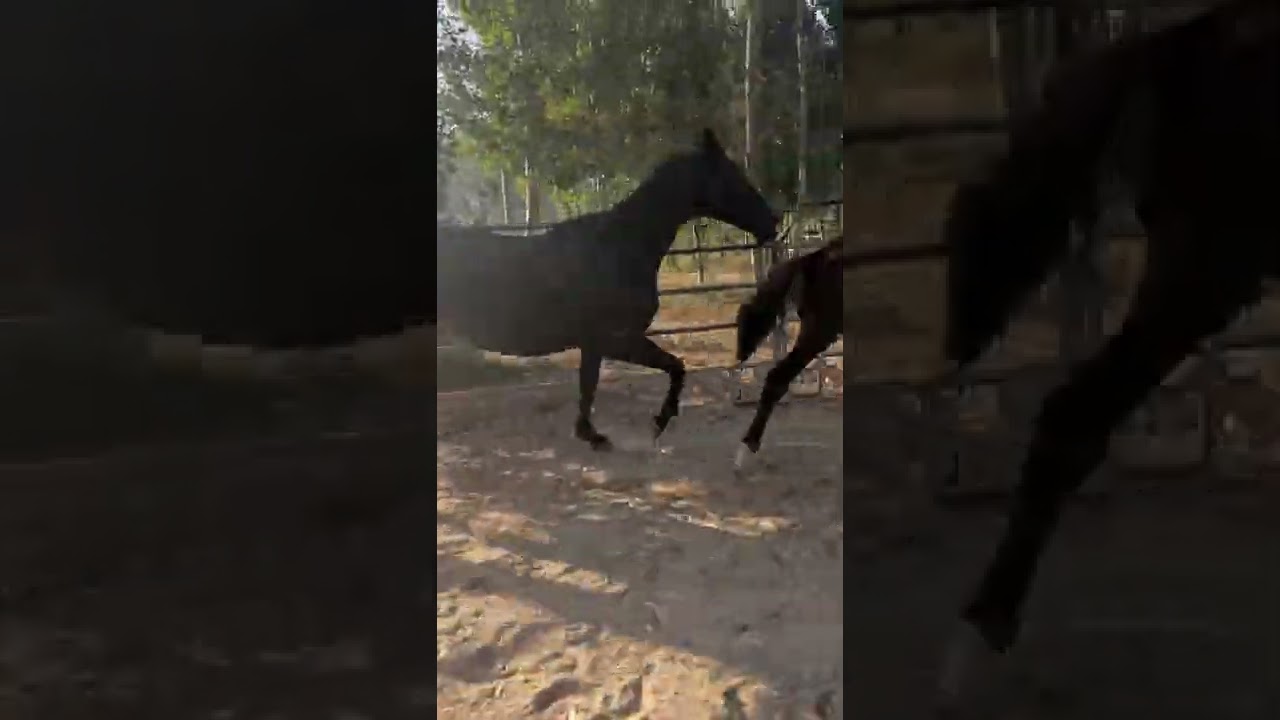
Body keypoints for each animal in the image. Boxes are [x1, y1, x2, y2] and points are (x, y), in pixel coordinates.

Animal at [436, 128, 779, 451]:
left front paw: (592, 434)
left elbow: (593, 384)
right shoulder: (615, 339)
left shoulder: (596, 343)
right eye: (733, 175)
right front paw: (655, 424)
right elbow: (669, 367)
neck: (619, 248)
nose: (773, 222)